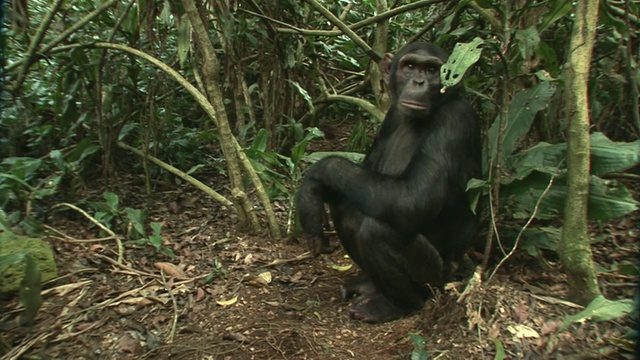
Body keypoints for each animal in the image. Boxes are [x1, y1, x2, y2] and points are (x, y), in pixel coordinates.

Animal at [296, 43, 480, 324]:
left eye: (432, 70)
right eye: (410, 66)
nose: (419, 82)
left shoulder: (454, 122)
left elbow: (412, 199)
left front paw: (317, 174)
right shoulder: (391, 116)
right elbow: (366, 174)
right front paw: (311, 199)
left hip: (439, 277)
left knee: (377, 230)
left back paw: (396, 305)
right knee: (346, 206)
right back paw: (369, 285)